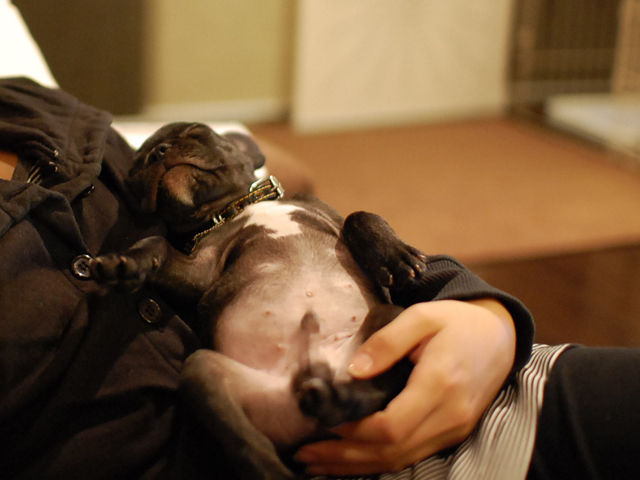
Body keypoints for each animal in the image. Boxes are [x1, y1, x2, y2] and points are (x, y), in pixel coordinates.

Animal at [89, 123, 428, 479]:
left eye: (197, 133)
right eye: (137, 168)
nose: (159, 152)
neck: (240, 206)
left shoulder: (329, 216)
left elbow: (359, 215)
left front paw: (395, 257)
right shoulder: (201, 267)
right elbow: (157, 244)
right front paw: (127, 262)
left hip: (391, 321)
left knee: (373, 390)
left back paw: (337, 398)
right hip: (203, 372)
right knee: (248, 443)